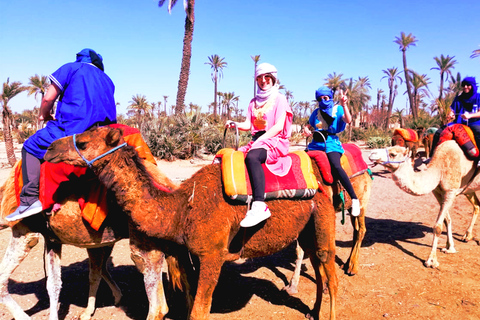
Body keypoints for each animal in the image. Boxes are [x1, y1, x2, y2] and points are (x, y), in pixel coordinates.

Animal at [0, 160, 178, 320]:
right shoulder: (53, 240)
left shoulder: (25, 231)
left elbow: (2, 278)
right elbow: (54, 284)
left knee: (154, 292)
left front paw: (23, 317)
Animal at [43, 127, 340, 320]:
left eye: (82, 142)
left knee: (329, 268)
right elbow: (188, 301)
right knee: (318, 267)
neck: (181, 208)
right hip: (307, 229)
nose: (49, 149)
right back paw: (313, 312)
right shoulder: (192, 253)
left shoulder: (212, 255)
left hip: (323, 214)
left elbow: (199, 311)